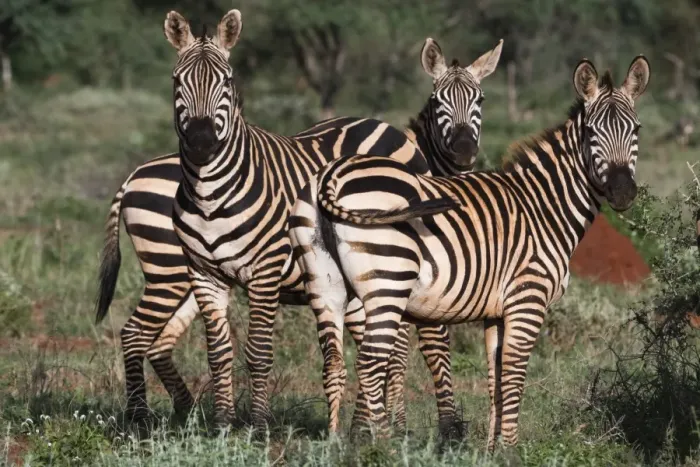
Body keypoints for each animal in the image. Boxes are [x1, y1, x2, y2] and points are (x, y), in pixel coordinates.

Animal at [94, 9, 502, 431]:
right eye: (438, 101)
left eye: (481, 99)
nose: (464, 150)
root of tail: (132, 175)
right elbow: (416, 345)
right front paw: (414, 423)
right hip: (169, 271)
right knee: (135, 334)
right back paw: (139, 417)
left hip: (183, 277)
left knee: (157, 341)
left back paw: (184, 412)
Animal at [289, 56, 650, 448]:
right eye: (592, 133)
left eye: (636, 130)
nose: (623, 192)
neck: (542, 206)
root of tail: (332, 175)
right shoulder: (527, 298)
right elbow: (514, 374)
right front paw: (509, 449)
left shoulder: (496, 312)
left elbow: (496, 377)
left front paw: (492, 449)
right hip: (388, 280)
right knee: (371, 363)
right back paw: (382, 446)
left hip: (326, 284)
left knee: (333, 362)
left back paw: (337, 445)